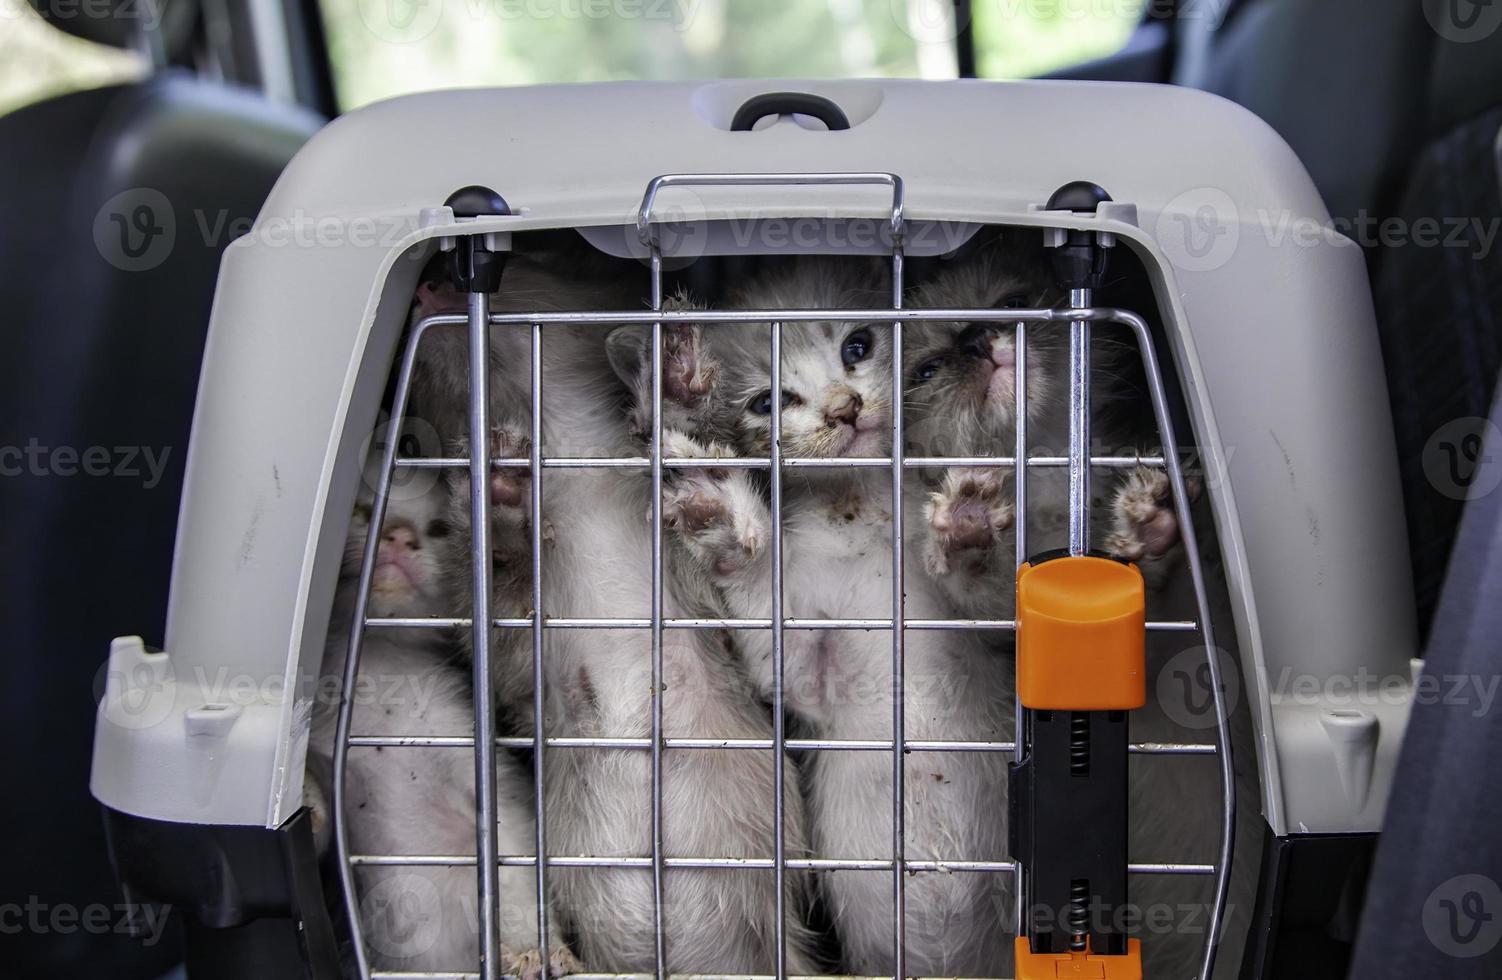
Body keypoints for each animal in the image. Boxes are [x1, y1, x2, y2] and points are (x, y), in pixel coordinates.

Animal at [307, 465, 576, 980]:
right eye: (361, 509)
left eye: (437, 528)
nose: (398, 534)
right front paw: (307, 803)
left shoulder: (475, 752)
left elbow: (510, 846)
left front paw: (536, 950)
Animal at [612, 257, 1021, 973]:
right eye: (766, 401)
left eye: (857, 345)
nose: (843, 408)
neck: (853, 516)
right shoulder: (805, 674)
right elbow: (771, 630)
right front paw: (718, 512)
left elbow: (997, 605)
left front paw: (969, 530)